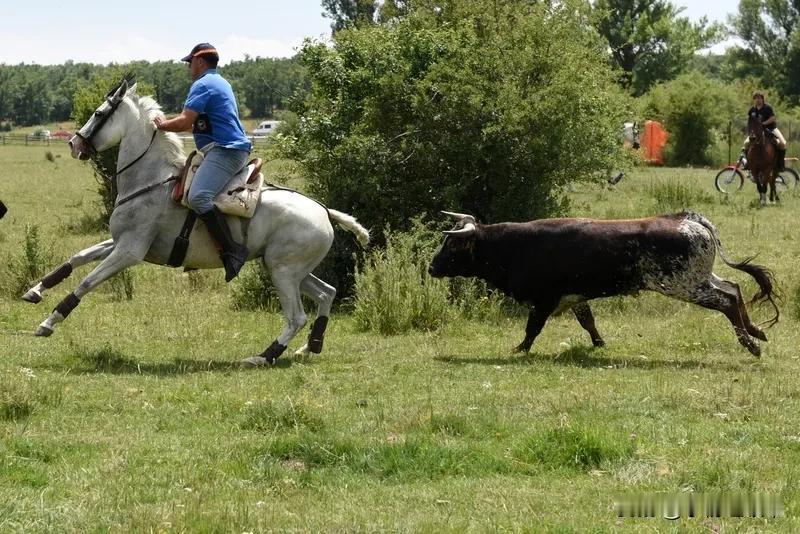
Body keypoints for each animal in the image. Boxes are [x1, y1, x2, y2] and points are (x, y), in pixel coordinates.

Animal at [26, 79, 370, 368]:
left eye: (99, 113)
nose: (73, 144)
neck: (150, 181)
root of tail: (324, 211)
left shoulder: (130, 251)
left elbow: (86, 282)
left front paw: (48, 322)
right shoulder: (120, 242)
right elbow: (77, 257)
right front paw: (35, 290)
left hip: (283, 271)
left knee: (296, 316)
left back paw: (263, 356)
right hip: (289, 269)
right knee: (326, 293)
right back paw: (310, 346)